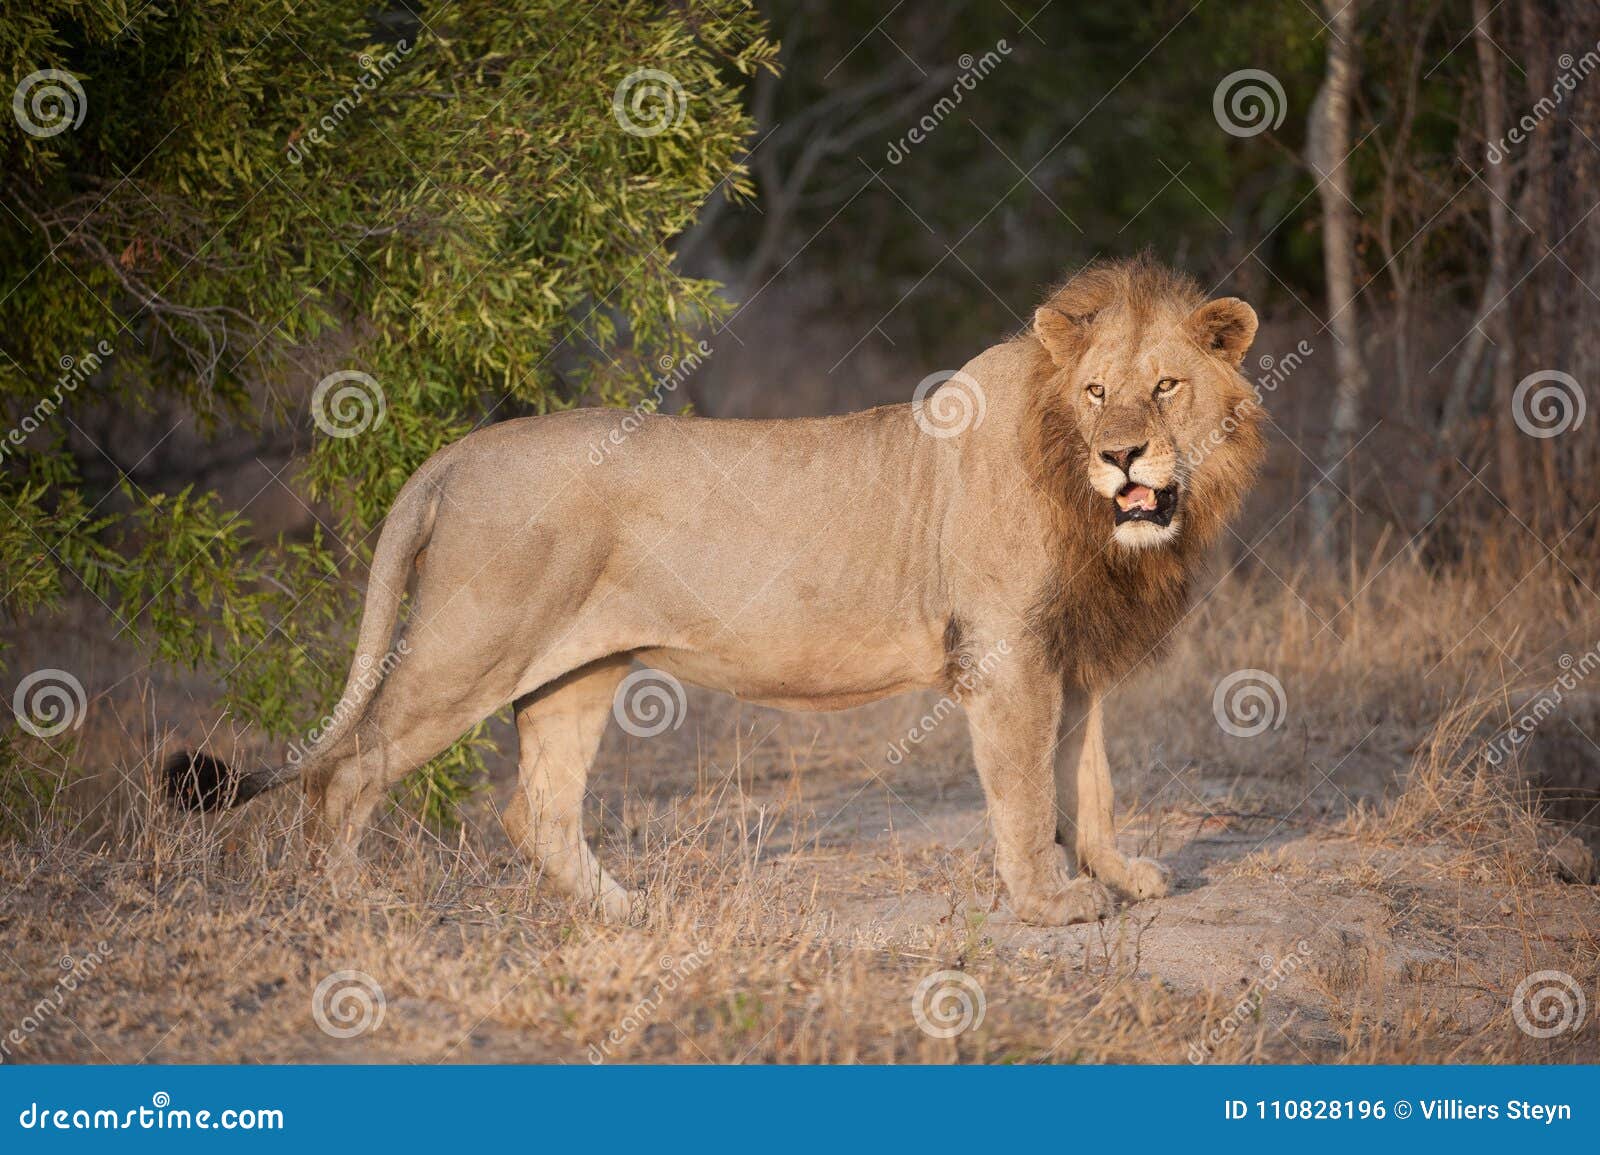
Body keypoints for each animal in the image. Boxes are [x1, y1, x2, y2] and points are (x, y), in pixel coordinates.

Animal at [169, 255, 1266, 926]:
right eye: (1096, 393)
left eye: (1166, 387)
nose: (1123, 455)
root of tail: (453, 454)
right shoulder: (1003, 656)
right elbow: (1026, 791)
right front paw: (1050, 903)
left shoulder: (1069, 657)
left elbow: (1091, 779)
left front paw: (1119, 874)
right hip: (466, 647)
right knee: (346, 772)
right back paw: (350, 907)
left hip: (572, 673)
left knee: (537, 812)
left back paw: (627, 914)